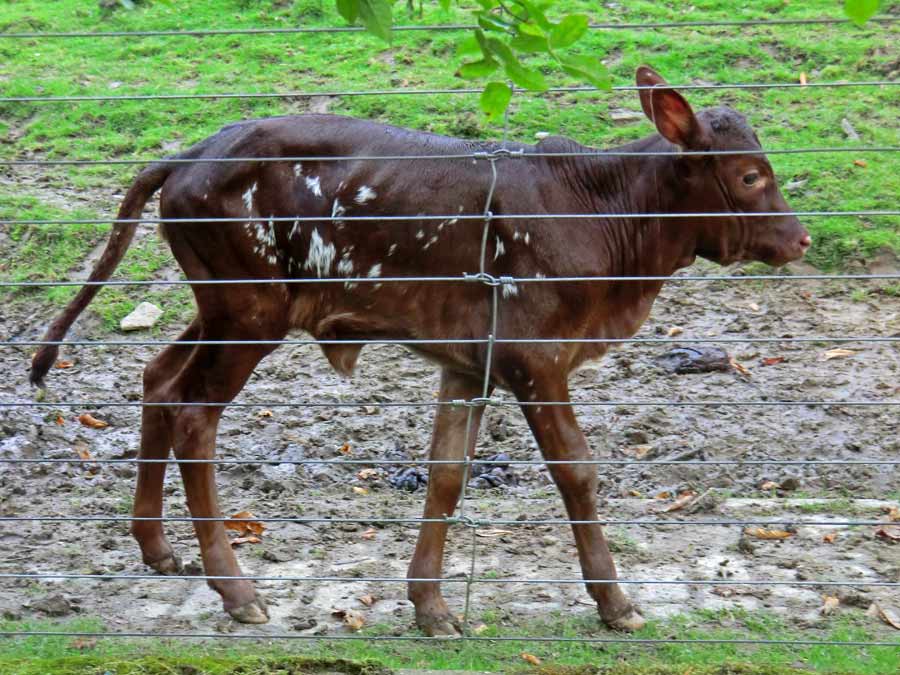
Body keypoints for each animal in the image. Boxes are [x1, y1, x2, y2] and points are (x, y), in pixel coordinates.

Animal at [31, 66, 812, 636]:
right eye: (750, 176)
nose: (800, 238)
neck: (604, 214)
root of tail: (187, 156)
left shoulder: (468, 361)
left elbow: (446, 474)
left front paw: (432, 607)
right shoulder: (535, 358)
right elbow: (577, 471)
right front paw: (615, 603)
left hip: (225, 308)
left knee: (160, 379)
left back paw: (158, 546)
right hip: (249, 311)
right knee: (196, 415)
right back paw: (236, 588)